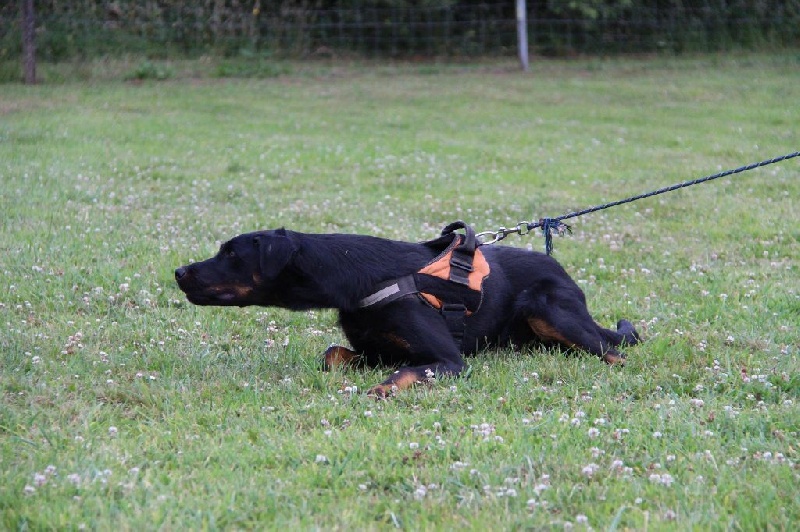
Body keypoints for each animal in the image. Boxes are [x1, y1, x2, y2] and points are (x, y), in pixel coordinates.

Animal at [175, 222, 636, 396]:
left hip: (549, 309)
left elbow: (404, 372)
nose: (178, 271)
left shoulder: (449, 360)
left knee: (615, 352)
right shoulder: (374, 350)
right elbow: (332, 355)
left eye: (230, 253)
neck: (354, 276)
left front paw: (382, 389)